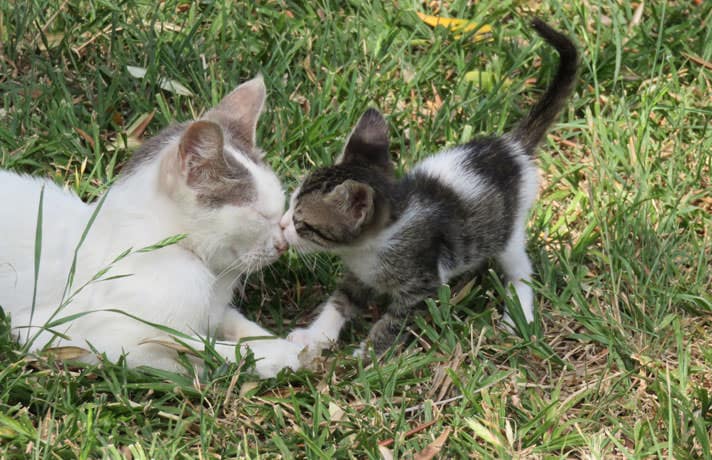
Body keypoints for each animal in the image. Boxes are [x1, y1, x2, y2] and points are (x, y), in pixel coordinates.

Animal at [0, 75, 304, 378]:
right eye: (260, 215)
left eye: (282, 210)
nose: (283, 245)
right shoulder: (63, 334)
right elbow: (195, 347)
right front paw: (275, 357)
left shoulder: (213, 311)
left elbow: (231, 322)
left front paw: (287, 343)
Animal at [280, 18, 576, 356]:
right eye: (291, 205)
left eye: (301, 222)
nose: (281, 225)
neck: (368, 248)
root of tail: (511, 148)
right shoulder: (358, 276)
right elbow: (339, 301)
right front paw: (314, 336)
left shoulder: (422, 286)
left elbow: (393, 323)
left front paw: (367, 354)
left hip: (508, 232)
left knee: (522, 271)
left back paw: (518, 316)